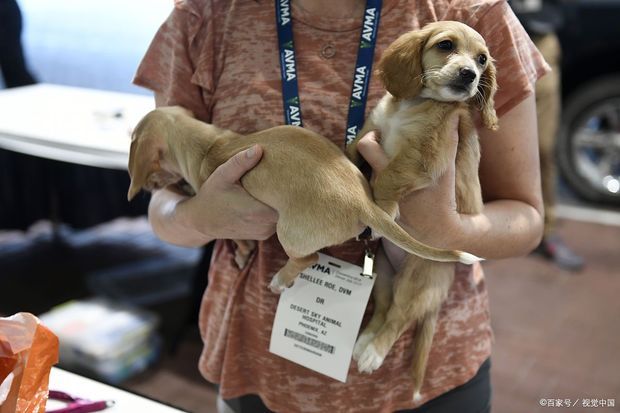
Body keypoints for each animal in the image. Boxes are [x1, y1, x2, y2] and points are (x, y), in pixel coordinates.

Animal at [127, 106, 480, 292]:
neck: (206, 143)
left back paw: (280, 280)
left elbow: (235, 238)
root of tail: (362, 201)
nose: (152, 187)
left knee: (307, 258)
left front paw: (242, 252)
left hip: (288, 233)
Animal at [348, 21, 498, 400]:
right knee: (384, 310)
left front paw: (381, 210)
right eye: (446, 46)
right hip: (385, 274)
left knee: (400, 319)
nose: (470, 74)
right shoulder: (372, 129)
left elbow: (388, 176)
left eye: (482, 59)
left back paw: (374, 352)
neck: (414, 105)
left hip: (414, 284)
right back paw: (365, 341)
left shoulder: (423, 159)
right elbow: (351, 151)